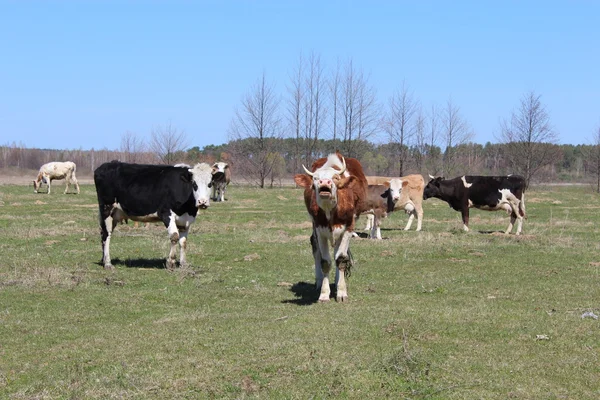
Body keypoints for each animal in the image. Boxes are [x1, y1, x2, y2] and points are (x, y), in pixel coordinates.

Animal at [292, 153, 368, 304]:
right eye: (315, 178)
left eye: (336, 178)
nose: (325, 182)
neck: (330, 211)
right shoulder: (319, 230)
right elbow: (325, 261)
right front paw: (324, 294)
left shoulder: (348, 229)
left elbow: (341, 258)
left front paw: (342, 291)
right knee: (316, 249)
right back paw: (319, 281)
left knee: (339, 255)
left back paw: (338, 280)